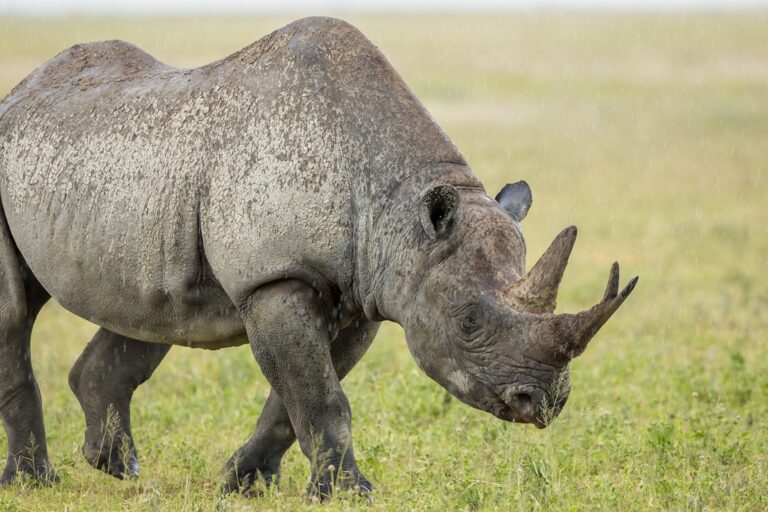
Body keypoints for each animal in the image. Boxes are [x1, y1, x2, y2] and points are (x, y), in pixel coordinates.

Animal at [0, 17, 636, 497]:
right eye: (468, 323)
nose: (544, 403)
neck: (399, 211)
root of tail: (21, 91)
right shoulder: (276, 280)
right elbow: (321, 396)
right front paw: (351, 494)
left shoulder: (363, 293)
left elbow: (296, 398)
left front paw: (244, 485)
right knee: (16, 314)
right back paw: (36, 482)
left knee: (152, 311)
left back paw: (117, 467)